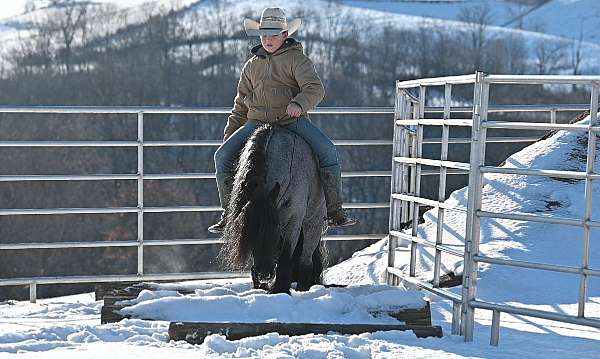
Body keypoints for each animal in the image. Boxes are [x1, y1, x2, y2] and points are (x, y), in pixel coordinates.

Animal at [219, 125, 326, 294]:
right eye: (248, 229)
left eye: (276, 228)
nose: (264, 274)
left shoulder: (293, 221)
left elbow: (286, 254)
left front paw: (280, 289)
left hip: (313, 221)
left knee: (306, 257)